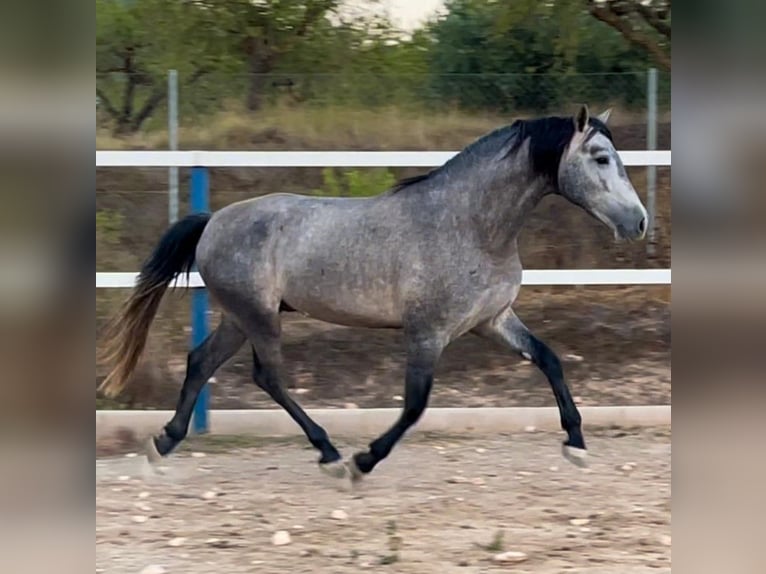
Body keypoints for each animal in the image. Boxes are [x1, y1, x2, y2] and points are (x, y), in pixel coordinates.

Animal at [97, 104, 648, 482]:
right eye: (601, 157)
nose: (639, 223)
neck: (470, 223)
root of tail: (213, 221)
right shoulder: (427, 332)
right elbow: (415, 404)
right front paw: (364, 461)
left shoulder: (492, 320)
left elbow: (550, 359)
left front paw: (576, 443)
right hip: (258, 316)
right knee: (267, 376)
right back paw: (329, 453)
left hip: (239, 316)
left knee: (200, 362)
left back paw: (163, 445)